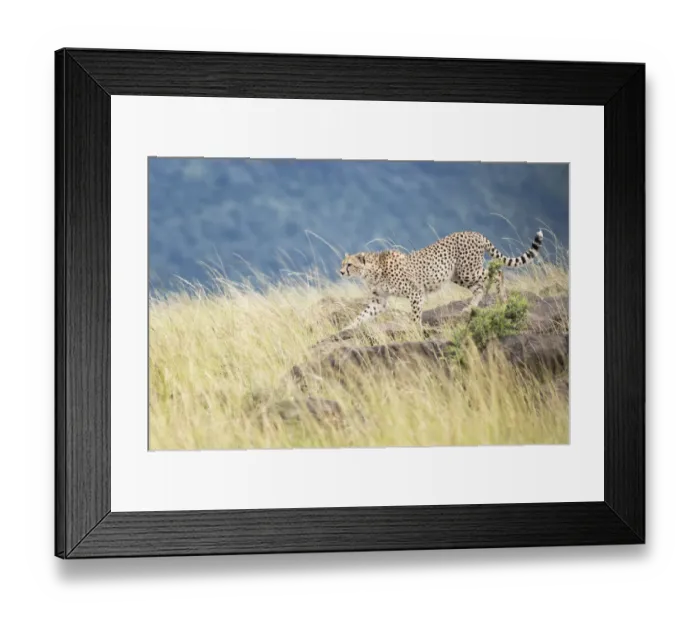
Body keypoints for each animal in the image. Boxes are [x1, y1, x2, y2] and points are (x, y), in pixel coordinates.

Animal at [338, 228, 544, 331]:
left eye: (349, 265)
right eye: (343, 263)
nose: (340, 272)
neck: (372, 271)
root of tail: (474, 232)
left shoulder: (416, 293)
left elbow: (415, 314)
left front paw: (415, 328)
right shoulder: (379, 300)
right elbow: (363, 315)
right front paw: (347, 329)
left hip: (468, 270)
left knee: (497, 273)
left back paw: (502, 298)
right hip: (458, 276)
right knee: (478, 288)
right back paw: (470, 307)